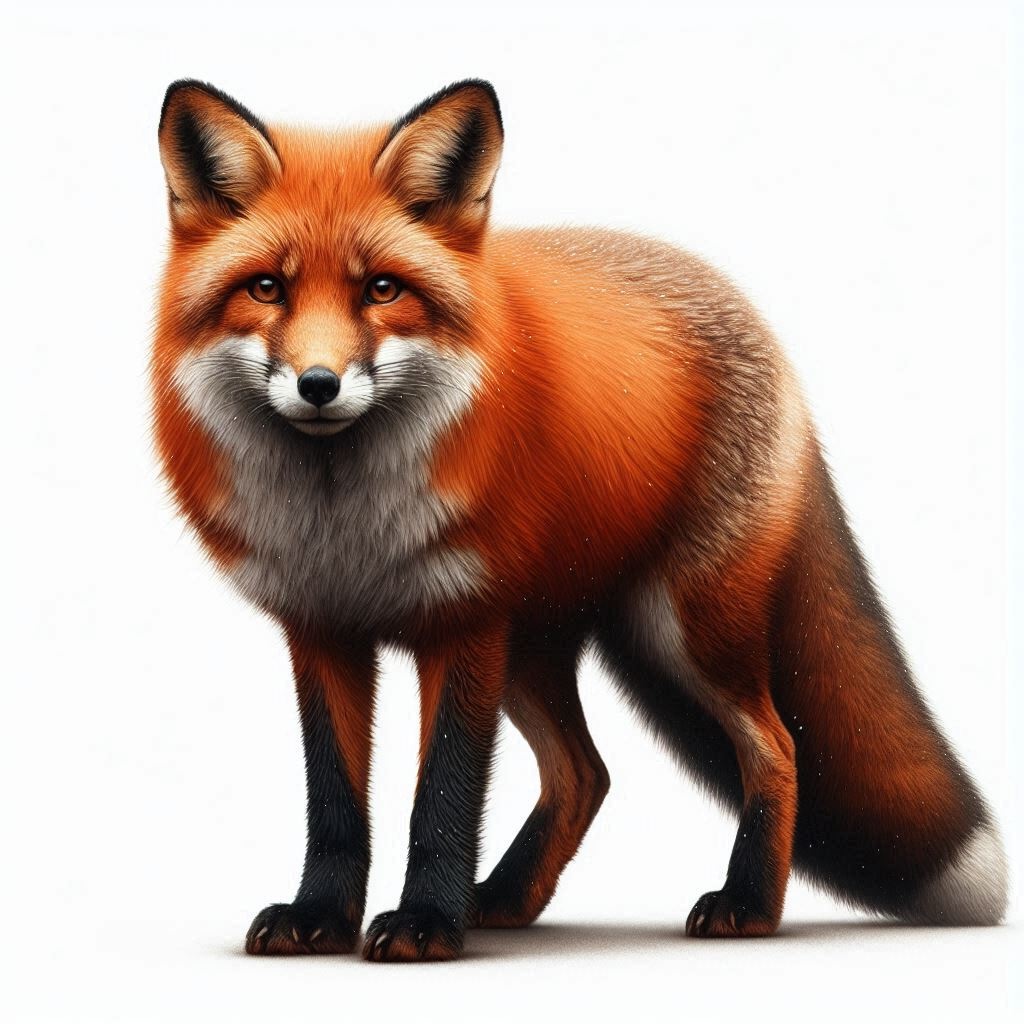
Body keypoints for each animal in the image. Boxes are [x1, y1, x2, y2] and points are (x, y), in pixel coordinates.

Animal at [153, 78, 1008, 962]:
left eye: (381, 289)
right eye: (267, 288)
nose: (318, 384)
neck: (344, 525)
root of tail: (743, 308)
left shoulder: (464, 624)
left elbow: (443, 796)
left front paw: (426, 922)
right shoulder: (323, 631)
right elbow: (334, 804)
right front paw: (320, 915)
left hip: (683, 629)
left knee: (776, 746)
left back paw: (747, 905)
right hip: (537, 648)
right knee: (584, 772)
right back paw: (505, 896)